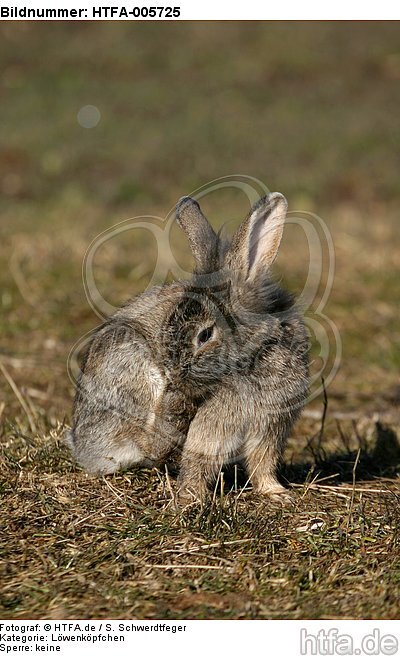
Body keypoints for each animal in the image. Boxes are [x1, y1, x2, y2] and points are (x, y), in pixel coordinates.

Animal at [67, 192, 308, 500]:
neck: (257, 354)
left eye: (205, 335)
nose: (175, 377)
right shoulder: (211, 429)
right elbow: (198, 461)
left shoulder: (270, 430)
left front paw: (276, 493)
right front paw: (192, 498)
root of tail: (83, 448)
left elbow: (262, 464)